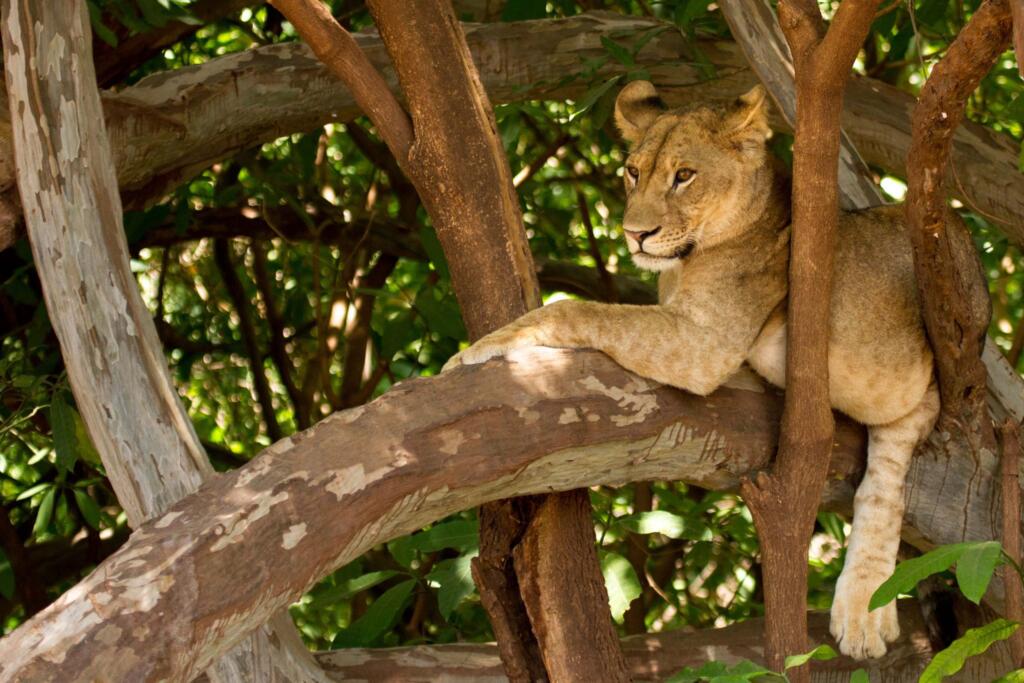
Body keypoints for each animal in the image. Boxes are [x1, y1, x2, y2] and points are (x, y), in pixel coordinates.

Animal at [443, 81, 940, 660]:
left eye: (684, 175)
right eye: (633, 172)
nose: (635, 234)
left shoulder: (703, 340)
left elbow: (576, 310)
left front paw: (474, 351)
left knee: (887, 474)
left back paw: (863, 610)